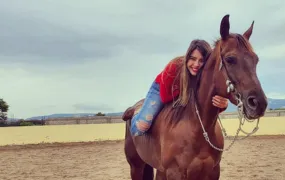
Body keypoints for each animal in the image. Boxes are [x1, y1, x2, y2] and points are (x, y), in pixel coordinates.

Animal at [121, 14, 266, 180]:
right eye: (230, 59)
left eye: (256, 60)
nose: (258, 103)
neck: (196, 127)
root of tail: (134, 109)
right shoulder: (175, 173)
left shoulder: (212, 172)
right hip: (136, 167)